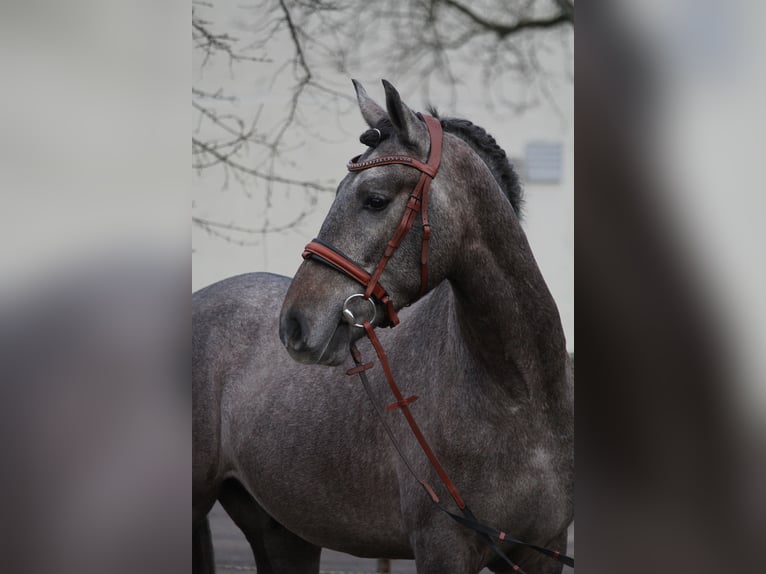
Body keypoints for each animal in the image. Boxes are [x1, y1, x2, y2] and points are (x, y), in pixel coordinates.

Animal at [194, 81, 576, 574]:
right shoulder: (442, 548)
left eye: (374, 199)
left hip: (281, 533)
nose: (294, 323)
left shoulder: (544, 550)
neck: (520, 396)